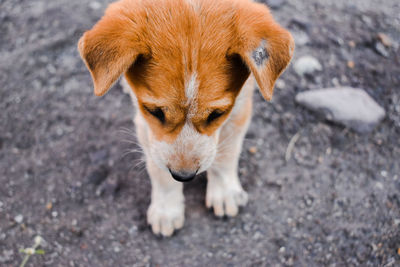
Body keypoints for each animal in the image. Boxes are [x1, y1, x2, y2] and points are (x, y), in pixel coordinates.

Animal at [78, 0, 294, 237]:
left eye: (217, 114)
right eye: (155, 112)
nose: (184, 176)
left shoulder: (239, 108)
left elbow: (226, 154)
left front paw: (224, 193)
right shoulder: (146, 126)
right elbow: (159, 171)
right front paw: (166, 211)